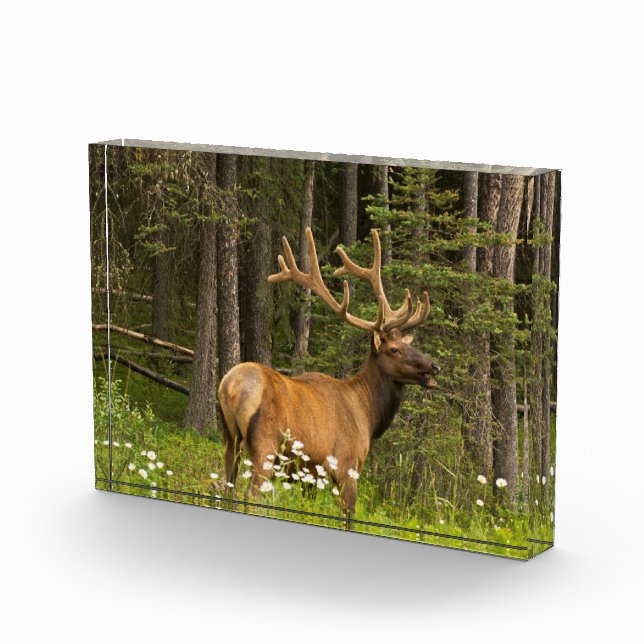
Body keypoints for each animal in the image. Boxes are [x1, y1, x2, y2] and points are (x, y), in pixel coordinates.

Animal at [217, 228, 440, 515]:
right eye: (394, 349)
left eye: (408, 344)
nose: (434, 366)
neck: (368, 414)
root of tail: (230, 387)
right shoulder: (347, 465)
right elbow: (349, 514)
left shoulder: (311, 475)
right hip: (264, 445)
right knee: (250, 495)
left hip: (229, 439)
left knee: (226, 488)